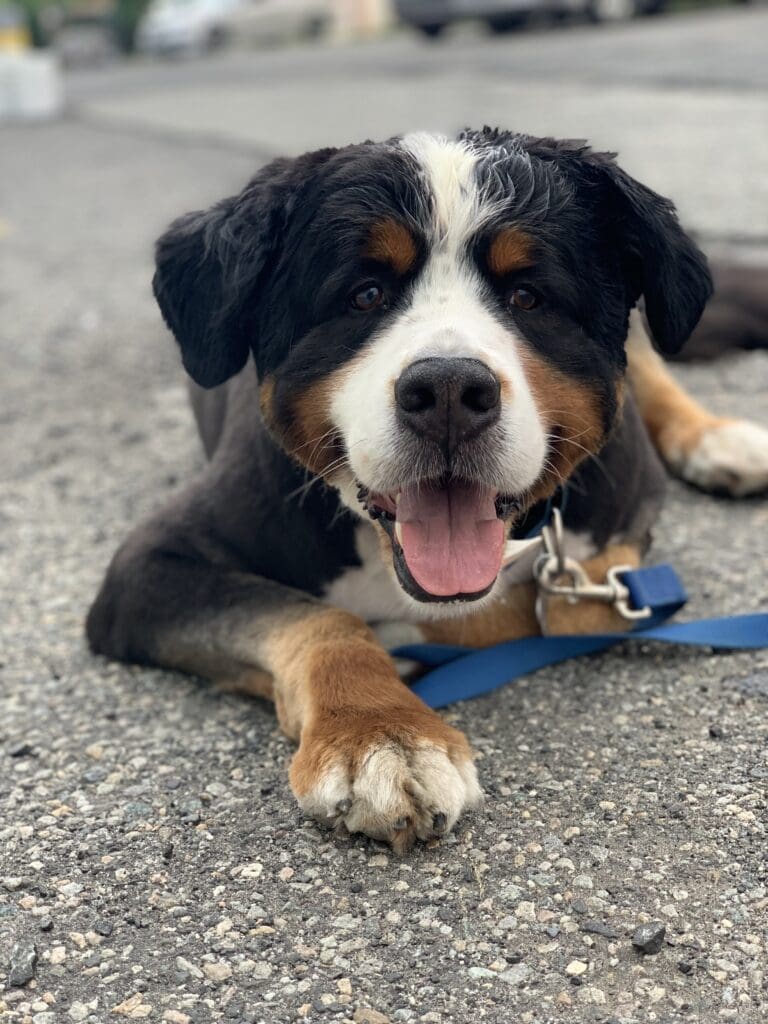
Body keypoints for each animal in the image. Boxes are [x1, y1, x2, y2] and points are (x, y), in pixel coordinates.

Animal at [85, 125, 768, 847]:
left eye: (529, 296)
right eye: (364, 294)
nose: (447, 391)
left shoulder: (622, 520)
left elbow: (552, 608)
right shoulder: (151, 566)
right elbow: (320, 618)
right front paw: (381, 735)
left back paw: (719, 439)